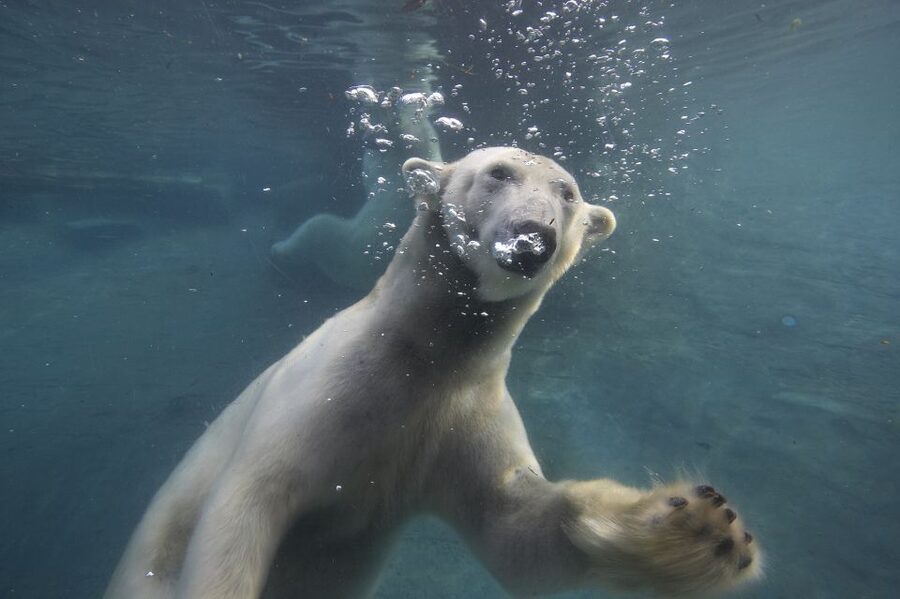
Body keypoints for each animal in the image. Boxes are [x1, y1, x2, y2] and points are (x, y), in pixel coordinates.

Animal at [106, 147, 760, 599]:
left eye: (568, 194)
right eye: (498, 172)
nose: (533, 237)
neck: (421, 355)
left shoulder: (456, 417)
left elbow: (516, 533)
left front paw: (707, 528)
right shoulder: (321, 396)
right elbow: (245, 509)